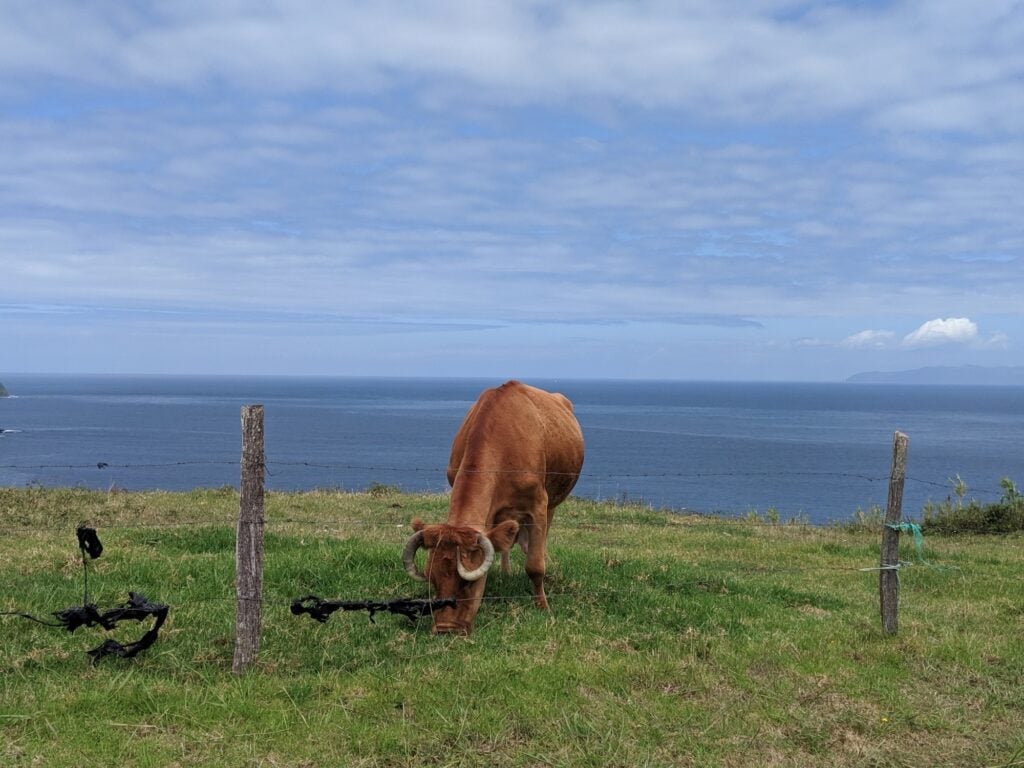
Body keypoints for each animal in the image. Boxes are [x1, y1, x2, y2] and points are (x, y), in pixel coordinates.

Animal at [401, 380, 585, 635]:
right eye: (432, 579)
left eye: (467, 583)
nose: (446, 629)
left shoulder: (538, 505)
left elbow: (535, 565)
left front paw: (542, 606)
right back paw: (506, 572)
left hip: (553, 502)